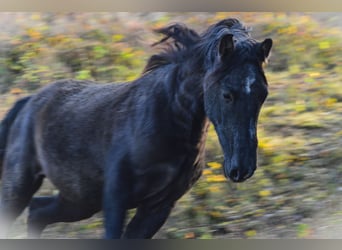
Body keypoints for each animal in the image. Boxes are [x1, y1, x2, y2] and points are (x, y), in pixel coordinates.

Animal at [0, 18, 272, 238]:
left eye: (262, 94)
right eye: (227, 94)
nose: (241, 169)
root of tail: (29, 102)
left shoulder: (158, 207)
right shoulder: (115, 200)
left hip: (80, 200)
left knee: (37, 212)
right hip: (21, 185)